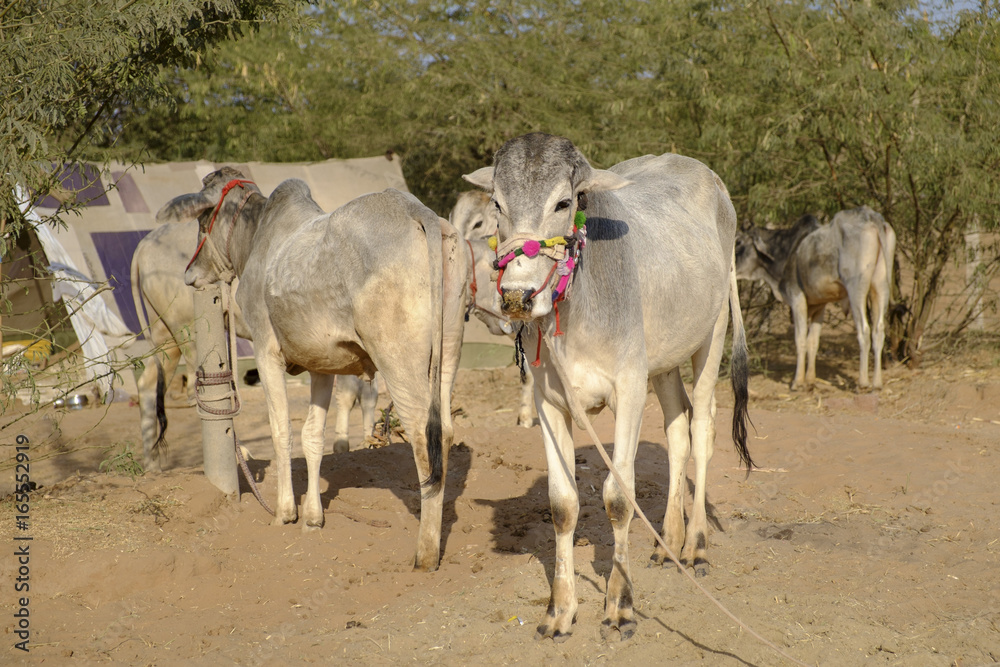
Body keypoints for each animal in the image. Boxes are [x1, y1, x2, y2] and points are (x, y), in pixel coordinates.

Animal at [130, 220, 378, 473]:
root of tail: (144, 245)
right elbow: (352, 393)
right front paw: (347, 443)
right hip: (187, 332)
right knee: (195, 390)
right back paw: (238, 453)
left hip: (165, 336)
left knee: (148, 384)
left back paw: (152, 465)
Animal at [158, 167, 468, 571]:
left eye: (200, 222)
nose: (189, 274)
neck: (257, 238)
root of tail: (419, 211)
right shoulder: (323, 365)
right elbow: (313, 437)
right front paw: (312, 517)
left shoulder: (266, 351)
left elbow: (281, 432)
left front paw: (285, 511)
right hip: (448, 354)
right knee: (443, 431)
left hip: (398, 360)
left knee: (420, 435)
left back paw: (425, 553)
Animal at [463, 133, 752, 641]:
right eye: (497, 203)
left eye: (563, 203)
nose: (518, 296)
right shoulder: (548, 404)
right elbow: (562, 505)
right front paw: (560, 610)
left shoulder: (629, 391)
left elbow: (619, 497)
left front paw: (620, 605)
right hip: (663, 361)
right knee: (677, 431)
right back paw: (669, 541)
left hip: (712, 337)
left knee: (702, 430)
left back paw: (696, 544)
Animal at [734, 205, 895, 391]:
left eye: (738, 242)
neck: (787, 250)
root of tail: (872, 217)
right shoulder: (820, 305)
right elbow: (813, 342)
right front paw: (810, 379)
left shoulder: (797, 299)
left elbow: (800, 340)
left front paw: (797, 382)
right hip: (880, 286)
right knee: (878, 331)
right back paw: (877, 382)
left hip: (856, 289)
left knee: (864, 330)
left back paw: (862, 382)